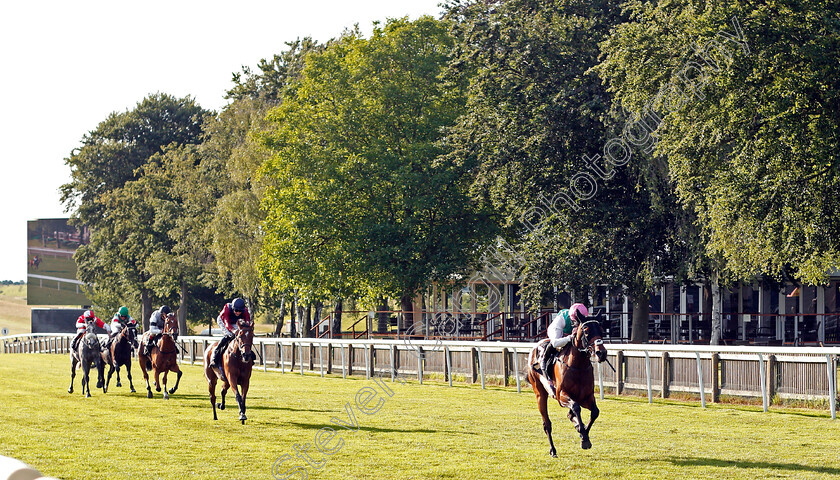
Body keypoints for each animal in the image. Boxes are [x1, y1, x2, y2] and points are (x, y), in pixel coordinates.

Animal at [528, 318, 608, 454]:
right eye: (586, 331)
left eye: (601, 330)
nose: (601, 353)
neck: (578, 366)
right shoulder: (561, 396)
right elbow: (576, 407)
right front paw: (584, 437)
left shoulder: (586, 397)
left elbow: (595, 412)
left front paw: (584, 434)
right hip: (540, 393)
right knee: (547, 424)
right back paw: (553, 450)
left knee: (570, 415)